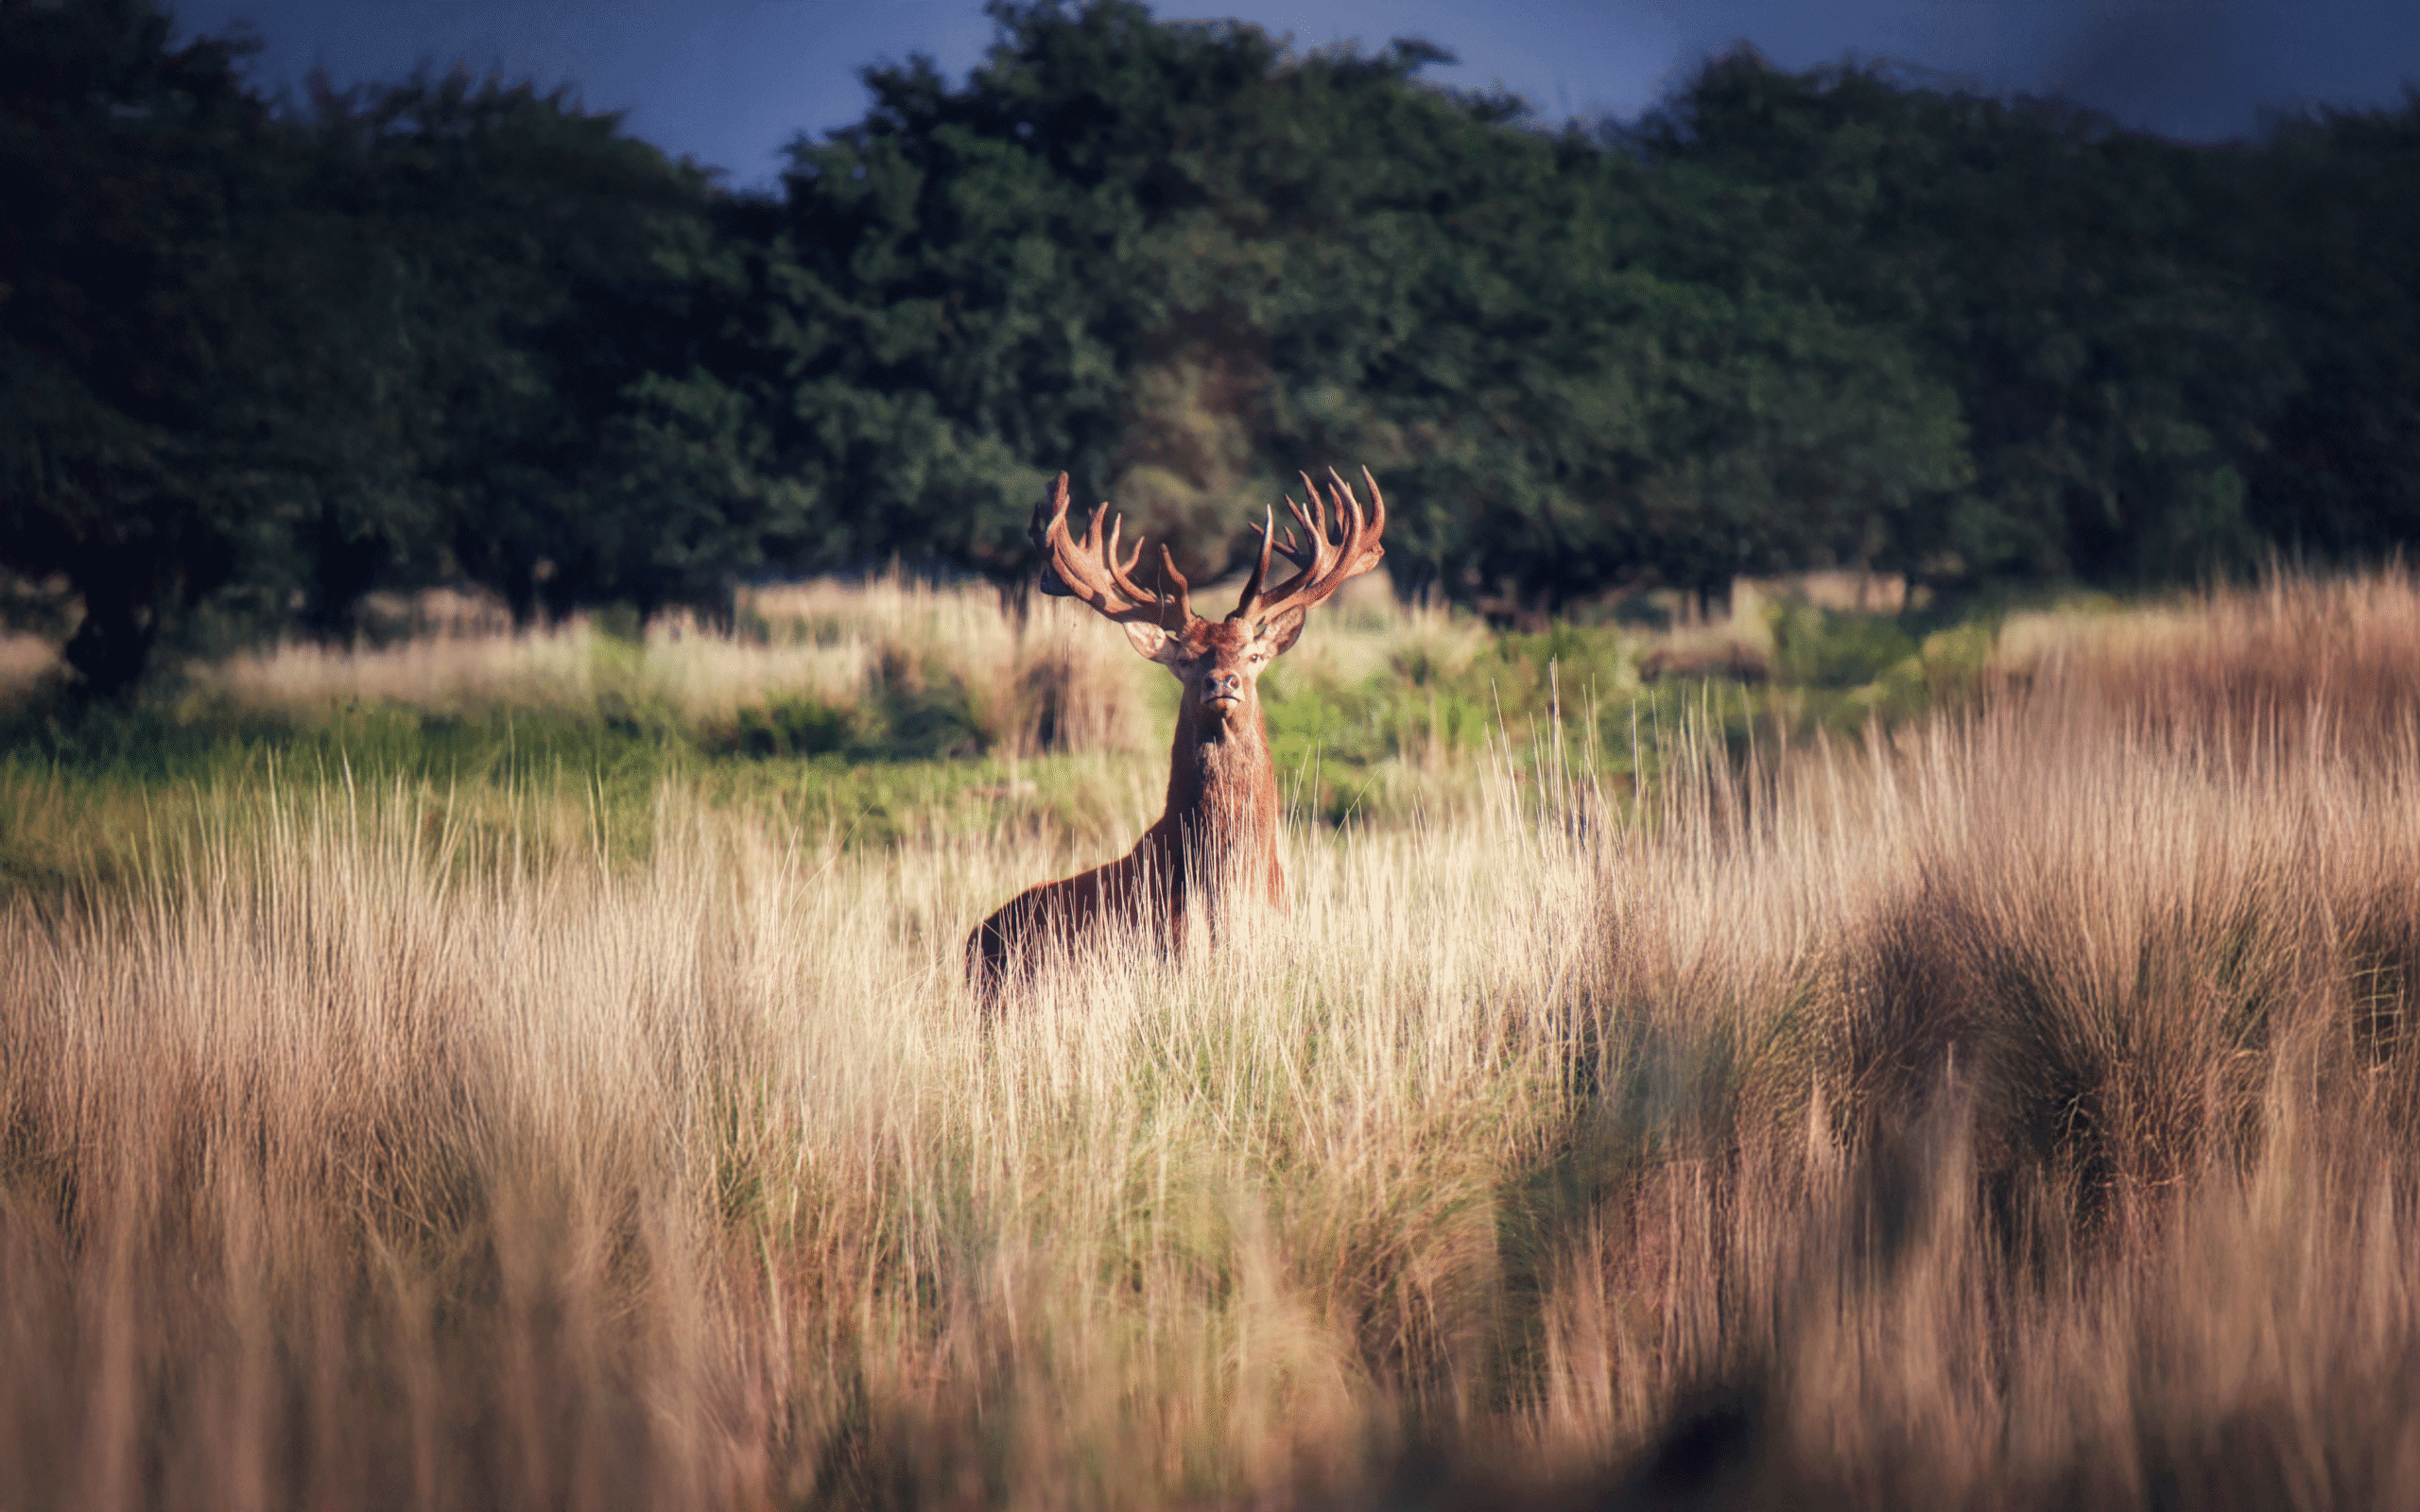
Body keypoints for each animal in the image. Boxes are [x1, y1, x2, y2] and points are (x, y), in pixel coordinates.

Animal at [967, 466, 1388, 998]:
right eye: (1186, 659)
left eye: (1253, 654)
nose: (1221, 682)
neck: (1227, 895)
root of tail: (972, 939)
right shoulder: (1167, 956)